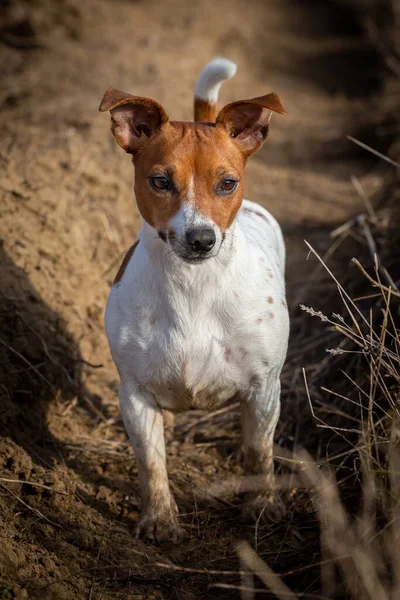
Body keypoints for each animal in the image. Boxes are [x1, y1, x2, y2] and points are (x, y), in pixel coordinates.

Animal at [98, 57, 290, 544]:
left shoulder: (264, 389)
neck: (192, 287)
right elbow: (151, 462)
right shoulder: (135, 394)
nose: (201, 239)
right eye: (160, 181)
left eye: (227, 183)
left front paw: (261, 506)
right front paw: (158, 518)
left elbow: (258, 452)